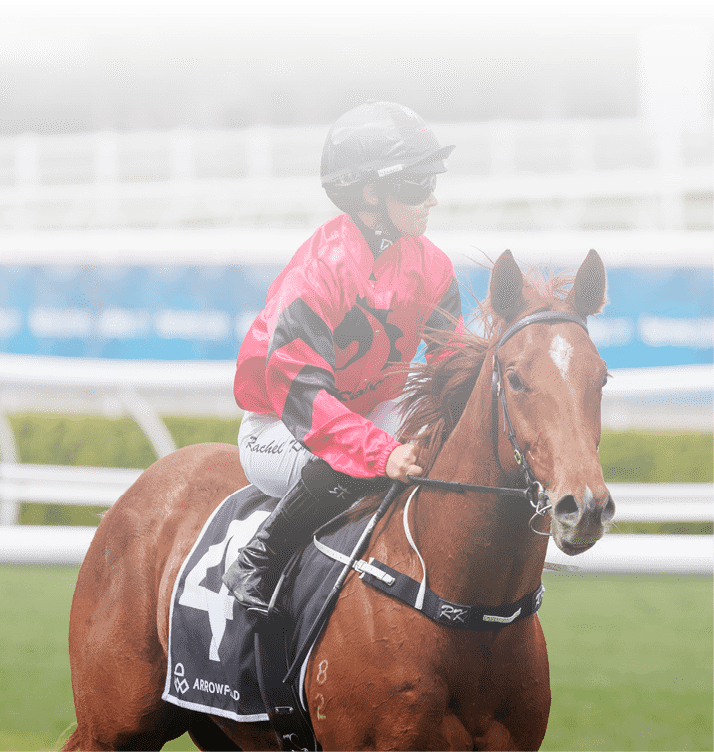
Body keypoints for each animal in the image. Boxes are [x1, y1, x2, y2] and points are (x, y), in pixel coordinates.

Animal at [62, 251, 612, 752]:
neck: (465, 610)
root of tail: (136, 490)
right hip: (112, 726)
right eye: (515, 378)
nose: (583, 506)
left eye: (602, 377)